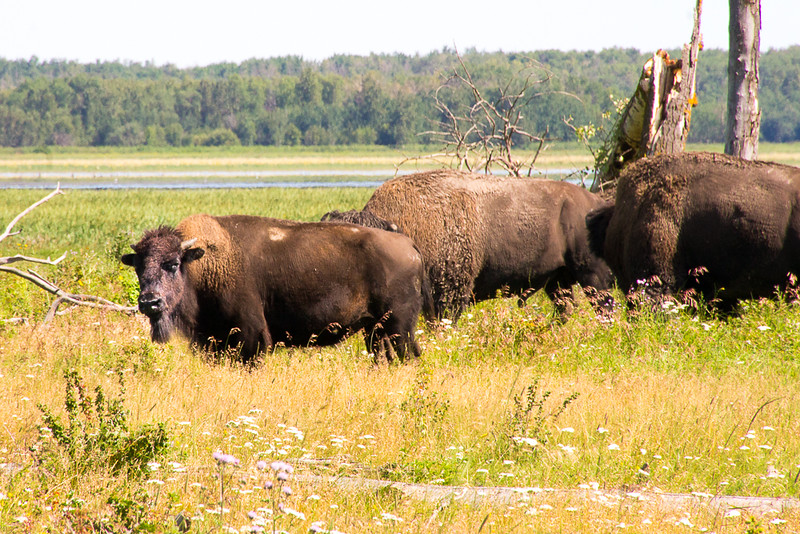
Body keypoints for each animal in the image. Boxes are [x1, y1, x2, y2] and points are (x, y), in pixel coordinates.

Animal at [120, 214, 424, 364]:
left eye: (172, 264)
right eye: (138, 267)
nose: (149, 302)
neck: (202, 263)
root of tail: (408, 244)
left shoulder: (251, 338)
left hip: (399, 326)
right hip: (376, 329)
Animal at [318, 171, 612, 322]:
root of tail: (596, 202)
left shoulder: (449, 292)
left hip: (593, 276)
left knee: (604, 306)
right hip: (559, 281)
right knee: (565, 308)